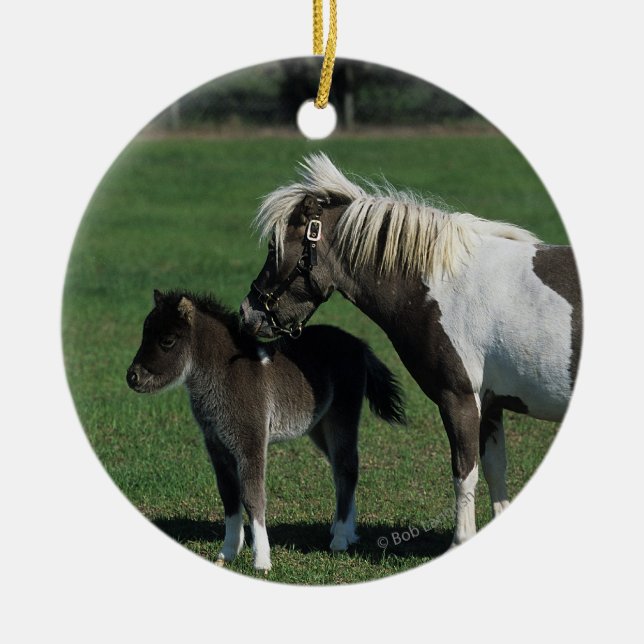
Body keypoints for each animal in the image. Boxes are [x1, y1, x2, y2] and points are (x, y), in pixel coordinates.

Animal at [126, 289, 405, 571]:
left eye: (167, 340)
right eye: (144, 333)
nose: (132, 377)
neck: (224, 374)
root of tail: (358, 344)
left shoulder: (250, 441)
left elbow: (253, 497)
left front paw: (261, 561)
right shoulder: (217, 445)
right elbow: (229, 496)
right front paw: (227, 552)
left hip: (342, 416)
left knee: (347, 468)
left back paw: (339, 539)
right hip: (318, 425)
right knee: (341, 469)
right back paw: (347, 531)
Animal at [240, 153, 582, 547]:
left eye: (274, 248)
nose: (247, 313)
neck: (441, 286)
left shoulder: (459, 399)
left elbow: (464, 473)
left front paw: (460, 539)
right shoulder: (491, 403)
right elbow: (495, 470)